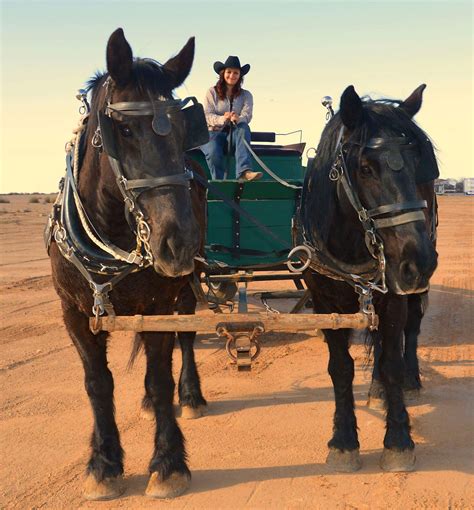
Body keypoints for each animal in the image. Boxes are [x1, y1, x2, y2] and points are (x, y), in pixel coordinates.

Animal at [47, 27, 207, 498]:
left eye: (184, 129)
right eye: (123, 129)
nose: (179, 241)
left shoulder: (158, 306)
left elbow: (159, 377)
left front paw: (168, 464)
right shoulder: (74, 312)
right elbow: (98, 384)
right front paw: (103, 464)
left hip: (183, 291)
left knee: (184, 341)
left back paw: (190, 395)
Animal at [302, 85, 438, 472]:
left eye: (420, 165)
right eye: (365, 168)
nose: (419, 261)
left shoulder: (393, 294)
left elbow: (392, 359)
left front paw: (399, 440)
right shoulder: (324, 303)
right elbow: (340, 367)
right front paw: (344, 440)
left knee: (410, 330)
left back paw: (409, 380)